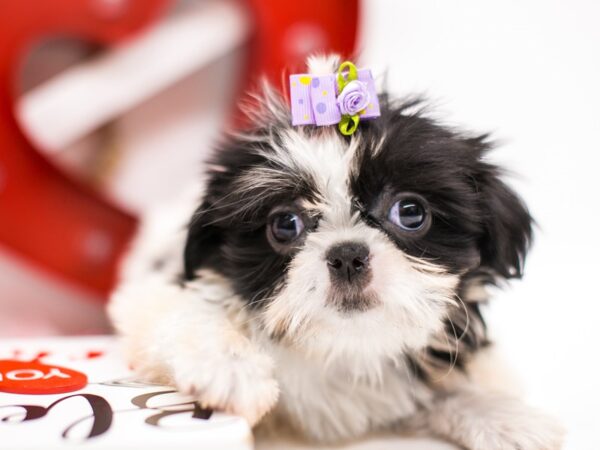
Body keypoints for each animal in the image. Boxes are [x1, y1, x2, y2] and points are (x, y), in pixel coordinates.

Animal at [110, 56, 564, 450]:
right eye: (285, 224)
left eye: (410, 212)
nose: (347, 255)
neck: (340, 346)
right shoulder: (152, 296)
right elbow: (186, 313)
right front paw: (230, 366)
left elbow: (443, 388)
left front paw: (504, 417)